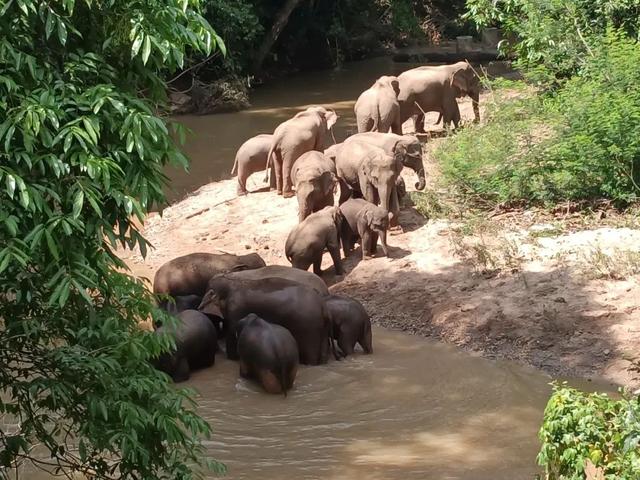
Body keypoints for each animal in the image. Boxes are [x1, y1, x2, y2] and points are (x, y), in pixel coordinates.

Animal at [198, 276, 332, 366]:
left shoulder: (235, 310)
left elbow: (232, 336)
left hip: (308, 327)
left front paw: (232, 358)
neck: (231, 282)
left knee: (310, 355)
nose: (199, 308)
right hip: (322, 327)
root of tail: (322, 305)